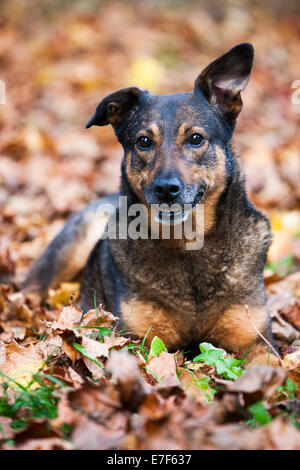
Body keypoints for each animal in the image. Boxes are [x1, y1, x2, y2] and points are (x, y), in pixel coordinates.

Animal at [22, 43, 278, 368]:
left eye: (196, 138)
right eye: (144, 141)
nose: (166, 189)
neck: (187, 245)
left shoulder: (256, 340)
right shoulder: (136, 340)